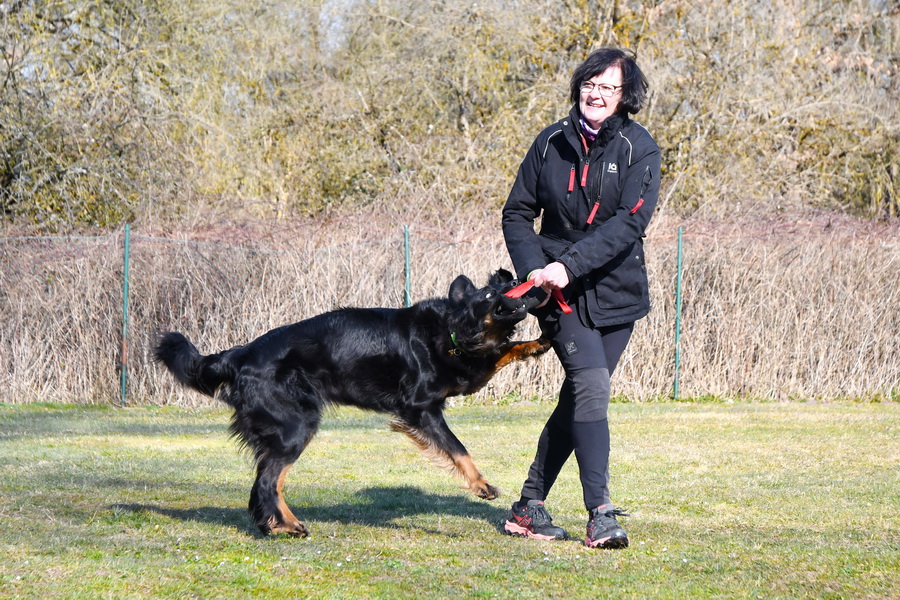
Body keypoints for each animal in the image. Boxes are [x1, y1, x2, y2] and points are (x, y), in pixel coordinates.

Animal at [155, 270, 548, 536]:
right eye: (490, 292)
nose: (515, 275)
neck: (452, 329)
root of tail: (240, 354)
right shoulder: (420, 408)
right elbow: (458, 448)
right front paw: (482, 485)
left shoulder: (466, 373)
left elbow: (501, 352)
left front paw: (535, 343)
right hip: (296, 426)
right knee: (269, 482)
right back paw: (289, 524)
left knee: (260, 483)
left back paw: (272, 524)